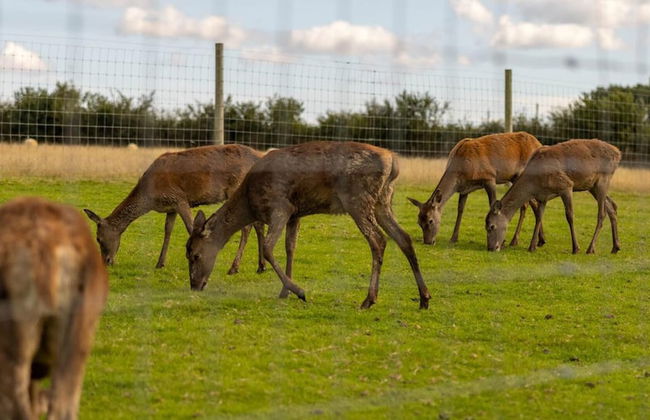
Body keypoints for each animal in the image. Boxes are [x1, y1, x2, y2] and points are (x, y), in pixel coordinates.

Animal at [84, 144, 266, 274]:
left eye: (98, 238)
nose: (106, 261)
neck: (150, 197)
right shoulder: (170, 207)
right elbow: (168, 231)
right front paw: (160, 263)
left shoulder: (179, 198)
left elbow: (191, 227)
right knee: (258, 224)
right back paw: (261, 266)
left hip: (237, 189)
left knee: (247, 227)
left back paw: (234, 267)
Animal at [186, 141, 432, 309]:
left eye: (195, 255)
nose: (194, 285)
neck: (249, 202)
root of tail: (394, 162)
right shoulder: (295, 214)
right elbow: (290, 248)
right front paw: (285, 291)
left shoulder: (280, 207)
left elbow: (268, 248)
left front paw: (299, 291)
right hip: (383, 199)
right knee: (403, 237)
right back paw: (424, 298)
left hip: (358, 198)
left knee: (378, 240)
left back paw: (369, 299)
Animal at [408, 131, 545, 247]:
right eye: (418, 222)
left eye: (430, 221)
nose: (428, 242)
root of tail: (539, 143)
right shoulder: (464, 188)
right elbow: (460, 209)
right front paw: (453, 238)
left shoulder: (489, 177)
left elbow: (493, 204)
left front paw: (499, 240)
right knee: (533, 203)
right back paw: (541, 240)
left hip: (524, 175)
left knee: (527, 204)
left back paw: (515, 241)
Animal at [485, 139, 621, 254]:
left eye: (491, 226)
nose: (491, 248)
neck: (534, 183)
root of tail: (618, 153)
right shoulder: (542, 197)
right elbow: (539, 217)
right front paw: (532, 246)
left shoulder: (566, 185)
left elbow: (569, 216)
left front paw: (575, 248)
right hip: (592, 186)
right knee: (612, 206)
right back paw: (615, 247)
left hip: (603, 180)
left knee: (602, 213)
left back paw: (590, 249)